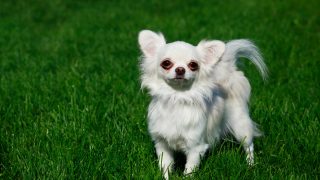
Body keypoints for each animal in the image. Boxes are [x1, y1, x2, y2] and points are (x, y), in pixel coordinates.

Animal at [138, 29, 268, 179]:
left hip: (240, 126)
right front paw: (165, 176)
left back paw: (251, 165)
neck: (177, 97)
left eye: (193, 65)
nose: (180, 69)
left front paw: (187, 177)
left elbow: (189, 169)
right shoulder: (162, 144)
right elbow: (165, 165)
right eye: (166, 63)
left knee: (249, 145)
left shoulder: (196, 147)